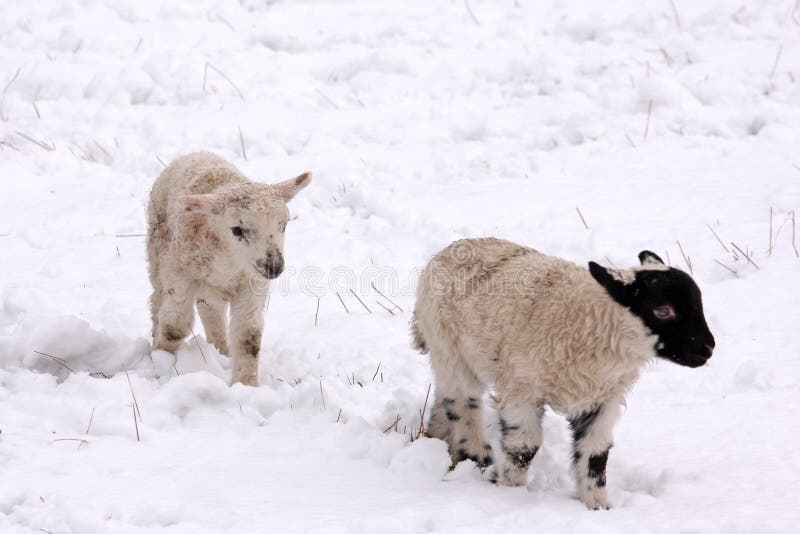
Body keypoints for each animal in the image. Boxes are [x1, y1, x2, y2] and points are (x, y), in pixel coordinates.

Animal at [147, 153, 312, 388]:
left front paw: (246, 385)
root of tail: (196, 153)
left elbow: (248, 336)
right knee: (157, 299)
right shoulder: (179, 271)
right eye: (237, 229)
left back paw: (221, 352)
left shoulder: (251, 283)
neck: (229, 261)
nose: (274, 266)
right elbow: (174, 326)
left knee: (210, 311)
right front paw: (162, 362)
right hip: (157, 252)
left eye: (284, 225)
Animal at [410, 239, 716, 510]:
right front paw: (510, 492)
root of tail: (448, 250)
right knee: (463, 403)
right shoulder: (523, 387)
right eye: (663, 310)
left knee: (445, 397)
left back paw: (440, 440)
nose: (708, 348)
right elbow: (523, 448)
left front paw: (597, 508)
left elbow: (595, 456)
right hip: (449, 348)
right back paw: (477, 457)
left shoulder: (603, 399)